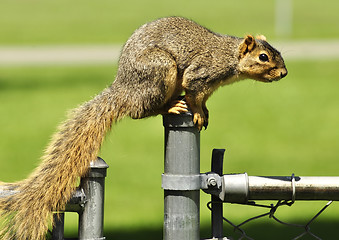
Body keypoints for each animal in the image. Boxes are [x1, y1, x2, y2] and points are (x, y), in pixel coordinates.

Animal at [0, 15, 286, 239]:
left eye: (279, 53)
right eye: (263, 57)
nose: (284, 73)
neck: (230, 58)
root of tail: (123, 89)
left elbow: (202, 100)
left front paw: (204, 111)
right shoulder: (201, 74)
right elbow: (194, 95)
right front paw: (196, 114)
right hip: (160, 74)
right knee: (139, 111)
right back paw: (171, 107)